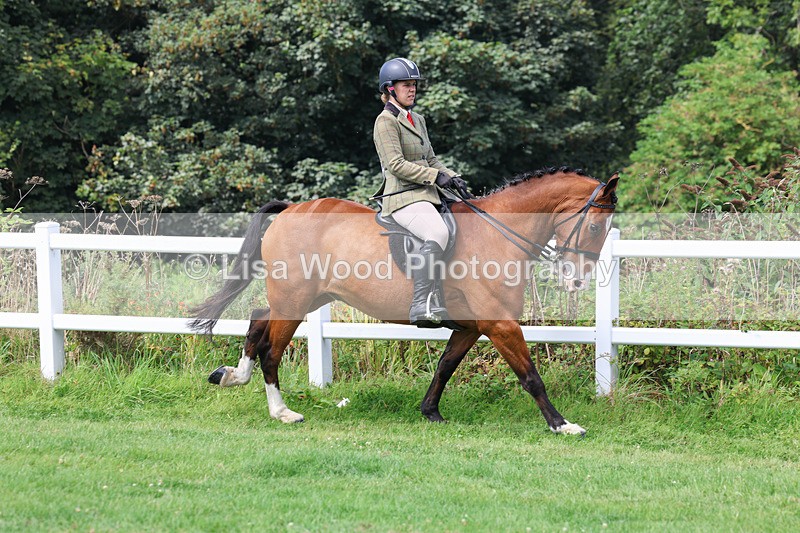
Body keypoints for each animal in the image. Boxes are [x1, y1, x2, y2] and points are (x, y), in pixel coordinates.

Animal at [191, 167, 618, 435]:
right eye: (596, 226)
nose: (576, 279)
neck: (497, 232)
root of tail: (292, 209)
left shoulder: (471, 327)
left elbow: (445, 367)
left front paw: (431, 412)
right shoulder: (499, 324)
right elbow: (531, 377)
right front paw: (563, 425)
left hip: (305, 298)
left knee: (257, 319)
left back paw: (231, 375)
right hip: (295, 300)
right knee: (270, 349)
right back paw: (282, 412)